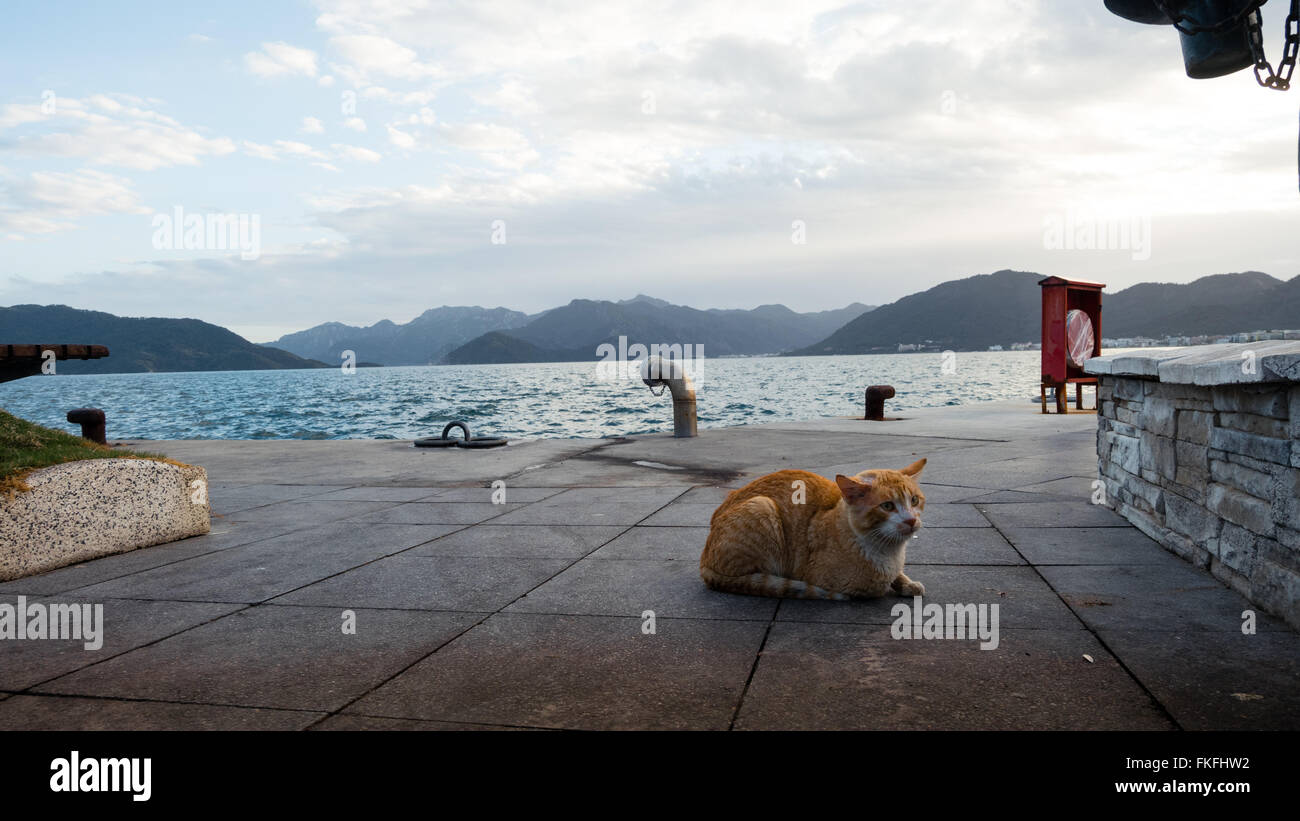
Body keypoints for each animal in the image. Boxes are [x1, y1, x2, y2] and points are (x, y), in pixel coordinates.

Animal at [702, 459, 925, 600]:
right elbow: (874, 588)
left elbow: (898, 575)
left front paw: (907, 583)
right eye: (887, 506)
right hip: (762, 506)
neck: (889, 552)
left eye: (914, 500)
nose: (911, 520)